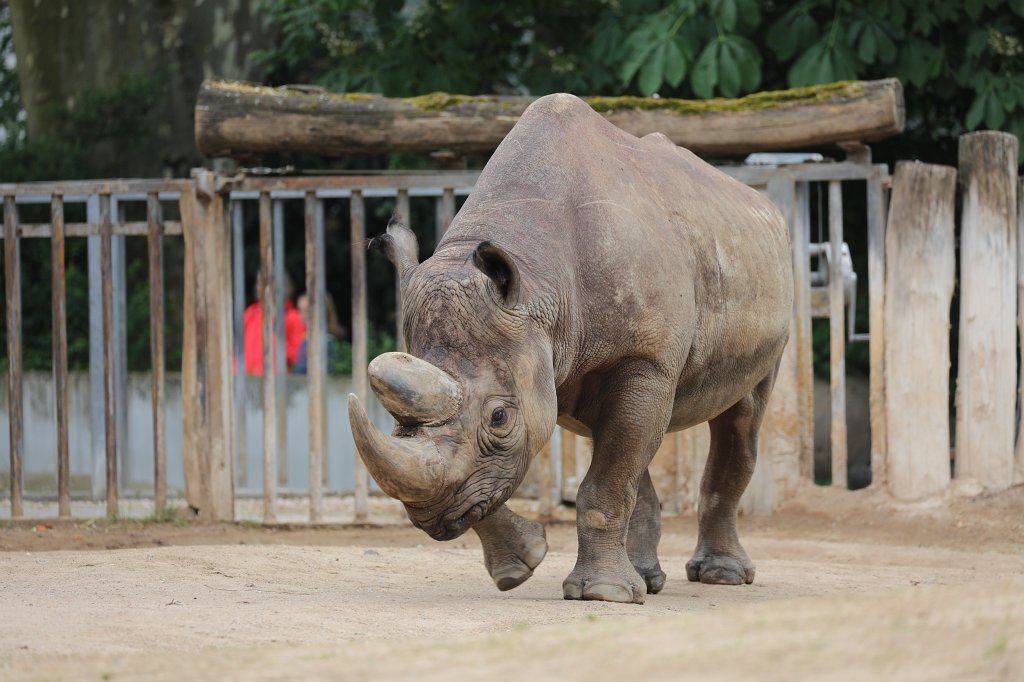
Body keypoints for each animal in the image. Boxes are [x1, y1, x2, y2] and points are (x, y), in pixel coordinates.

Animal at [348, 93, 793, 604]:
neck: (540, 276)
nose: (430, 518)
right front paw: (520, 568)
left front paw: (603, 595)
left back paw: (721, 576)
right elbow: (502, 479)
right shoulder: (534, 348)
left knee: (742, 415)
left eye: (498, 417)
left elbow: (603, 478)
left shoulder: (644, 360)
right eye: (394, 421)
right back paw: (648, 580)